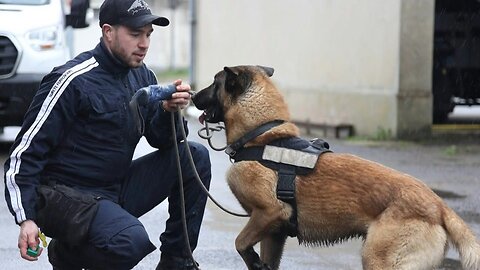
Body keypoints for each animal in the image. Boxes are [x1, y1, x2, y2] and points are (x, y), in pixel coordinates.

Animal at [191, 65, 480, 270]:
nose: (191, 96)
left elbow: (240, 242)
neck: (262, 137)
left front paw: (251, 258)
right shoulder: (274, 233)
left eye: (214, 83)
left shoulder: (269, 214)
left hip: (377, 260)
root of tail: (439, 205)